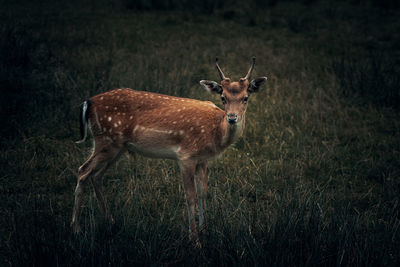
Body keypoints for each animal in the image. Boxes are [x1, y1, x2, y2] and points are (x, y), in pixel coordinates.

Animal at [71, 58, 268, 245]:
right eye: (223, 97)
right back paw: (76, 229)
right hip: (106, 141)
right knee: (83, 171)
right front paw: (194, 240)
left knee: (96, 175)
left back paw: (110, 222)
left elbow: (203, 194)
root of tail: (88, 102)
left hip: (116, 147)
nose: (232, 118)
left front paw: (205, 232)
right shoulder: (186, 156)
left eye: (245, 98)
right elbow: (190, 197)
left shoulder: (203, 160)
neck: (215, 133)